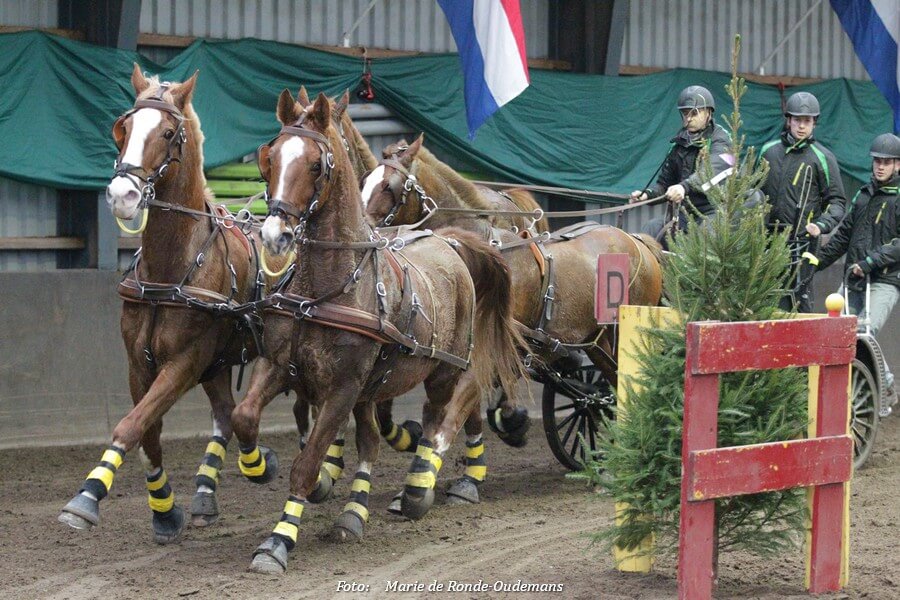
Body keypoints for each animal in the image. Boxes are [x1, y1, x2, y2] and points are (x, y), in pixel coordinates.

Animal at [58, 65, 286, 542]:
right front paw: (164, 511)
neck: (171, 270)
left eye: (167, 132)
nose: (122, 195)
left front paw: (86, 497)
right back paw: (209, 492)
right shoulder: (139, 362)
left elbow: (132, 424)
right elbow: (148, 435)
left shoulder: (184, 362)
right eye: (123, 128)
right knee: (226, 414)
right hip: (219, 361)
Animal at [229, 90, 526, 574]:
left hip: (442, 369)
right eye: (268, 158)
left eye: (316, 164)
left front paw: (277, 541)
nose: (274, 235)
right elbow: (245, 417)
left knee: (444, 414)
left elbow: (307, 462)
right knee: (374, 438)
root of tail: (450, 241)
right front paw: (259, 464)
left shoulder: (344, 387)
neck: (328, 287)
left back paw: (421, 488)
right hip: (375, 385)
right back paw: (354, 514)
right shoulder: (279, 366)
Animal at [361, 135, 664, 495]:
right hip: (597, 343)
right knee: (602, 394)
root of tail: (638, 241)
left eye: (388, 186)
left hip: (618, 338)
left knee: (624, 388)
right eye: (364, 180)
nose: (364, 231)